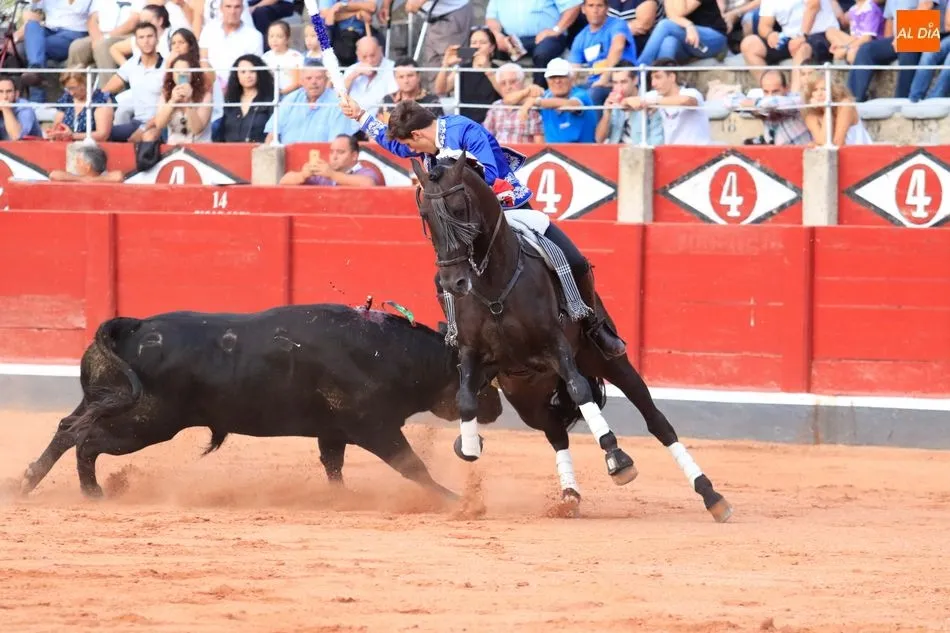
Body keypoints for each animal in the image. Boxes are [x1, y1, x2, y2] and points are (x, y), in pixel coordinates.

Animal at [410, 155, 733, 522]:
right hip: (526, 395)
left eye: (459, 207)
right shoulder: (472, 353)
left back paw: (712, 496)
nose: (455, 282)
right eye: (425, 215)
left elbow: (580, 390)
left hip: (608, 362)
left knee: (657, 422)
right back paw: (569, 496)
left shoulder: (556, 346)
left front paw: (617, 458)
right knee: (555, 431)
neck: (494, 287)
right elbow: (464, 399)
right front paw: (467, 445)